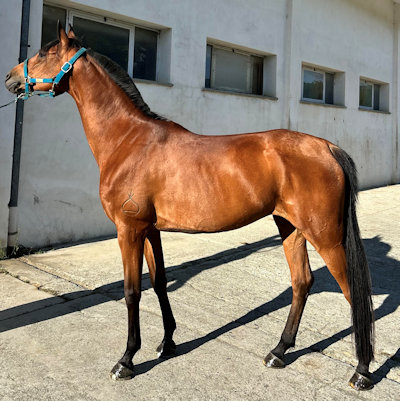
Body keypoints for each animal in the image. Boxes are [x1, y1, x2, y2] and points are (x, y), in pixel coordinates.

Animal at [5, 23, 374, 390]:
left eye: (46, 53)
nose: (10, 78)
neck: (128, 140)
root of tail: (327, 148)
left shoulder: (129, 230)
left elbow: (131, 291)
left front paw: (126, 360)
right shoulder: (149, 230)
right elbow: (158, 282)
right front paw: (168, 342)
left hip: (326, 236)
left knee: (352, 293)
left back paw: (362, 370)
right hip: (290, 227)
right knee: (302, 283)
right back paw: (279, 352)